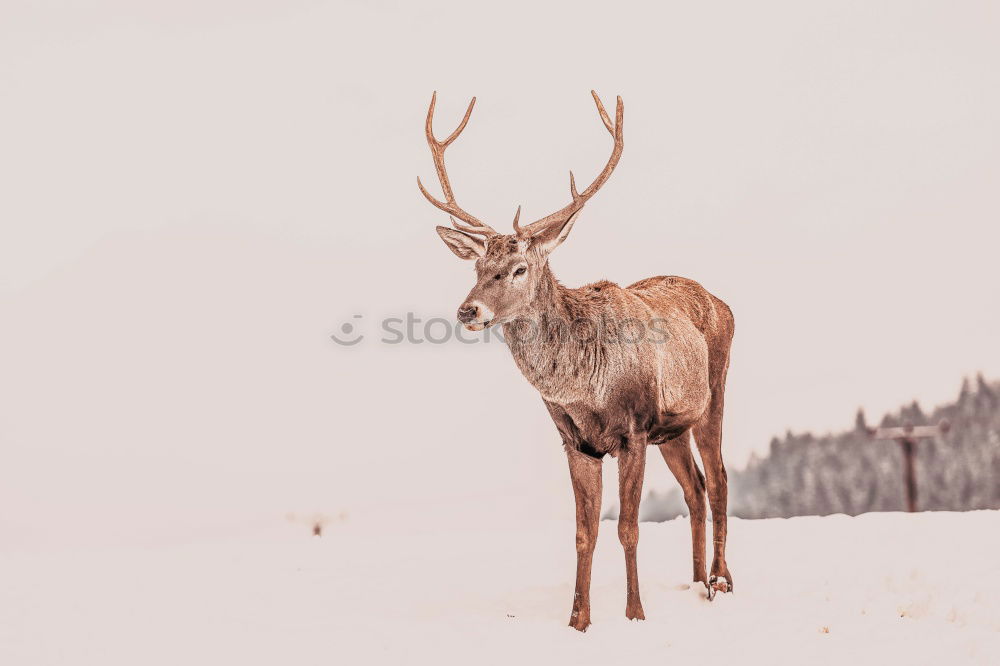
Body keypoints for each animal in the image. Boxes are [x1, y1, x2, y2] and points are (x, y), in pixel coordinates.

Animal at [416, 91, 736, 632]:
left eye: (519, 268)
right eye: (478, 266)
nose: (468, 310)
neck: (583, 388)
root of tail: (723, 303)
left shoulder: (634, 430)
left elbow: (627, 528)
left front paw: (634, 614)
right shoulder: (575, 441)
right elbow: (585, 533)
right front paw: (578, 621)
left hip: (714, 393)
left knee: (718, 481)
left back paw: (721, 581)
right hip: (672, 428)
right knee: (693, 487)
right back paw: (695, 584)